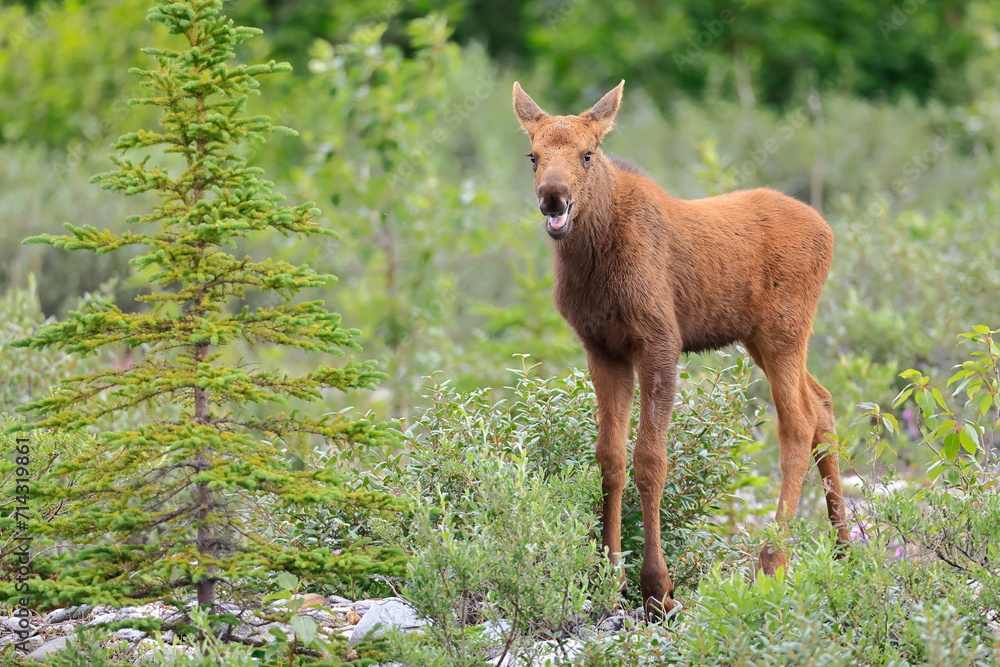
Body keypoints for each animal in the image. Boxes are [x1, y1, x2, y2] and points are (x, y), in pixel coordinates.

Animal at [512, 80, 850, 619]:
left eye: (588, 152)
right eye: (533, 155)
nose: (553, 198)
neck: (593, 261)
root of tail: (829, 231)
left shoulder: (660, 342)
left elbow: (651, 460)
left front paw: (657, 587)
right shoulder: (602, 349)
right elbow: (610, 459)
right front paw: (608, 576)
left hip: (784, 331)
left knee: (796, 420)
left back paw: (772, 560)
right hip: (761, 338)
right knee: (821, 402)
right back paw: (844, 547)